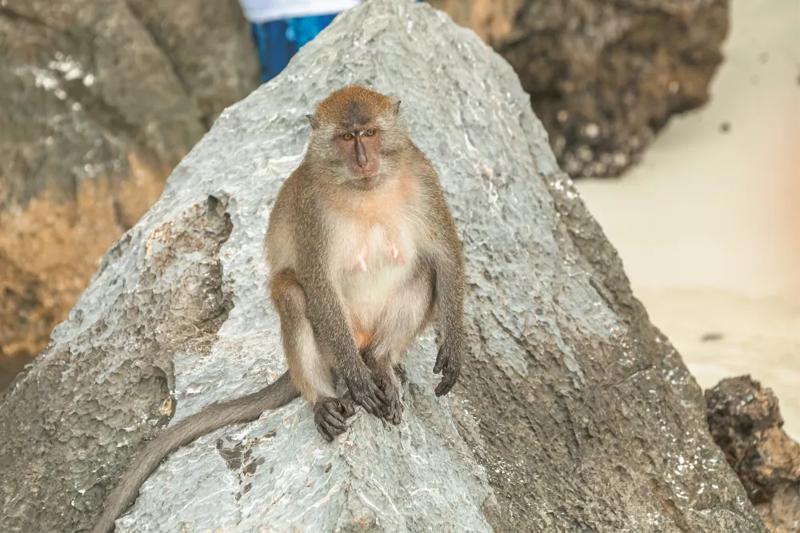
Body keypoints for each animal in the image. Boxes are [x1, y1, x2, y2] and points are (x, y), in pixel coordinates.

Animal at [91, 85, 465, 533]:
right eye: (347, 137)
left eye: (370, 133)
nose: (363, 159)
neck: (366, 190)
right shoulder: (311, 210)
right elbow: (318, 283)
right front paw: (358, 383)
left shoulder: (423, 177)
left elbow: (444, 257)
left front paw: (453, 349)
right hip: (333, 342)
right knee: (292, 292)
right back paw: (328, 396)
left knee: (424, 272)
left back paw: (379, 360)